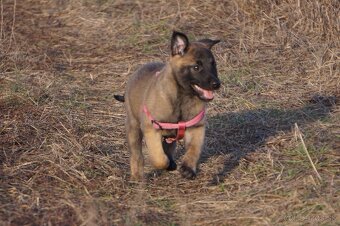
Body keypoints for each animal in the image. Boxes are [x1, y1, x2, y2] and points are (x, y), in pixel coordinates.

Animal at [114, 31, 220, 180]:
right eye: (196, 67)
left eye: (213, 64)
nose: (216, 84)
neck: (183, 98)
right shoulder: (151, 130)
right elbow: (158, 158)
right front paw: (166, 164)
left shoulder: (196, 128)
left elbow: (193, 150)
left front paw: (188, 168)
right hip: (133, 128)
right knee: (136, 155)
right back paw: (137, 177)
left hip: (168, 136)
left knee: (168, 147)